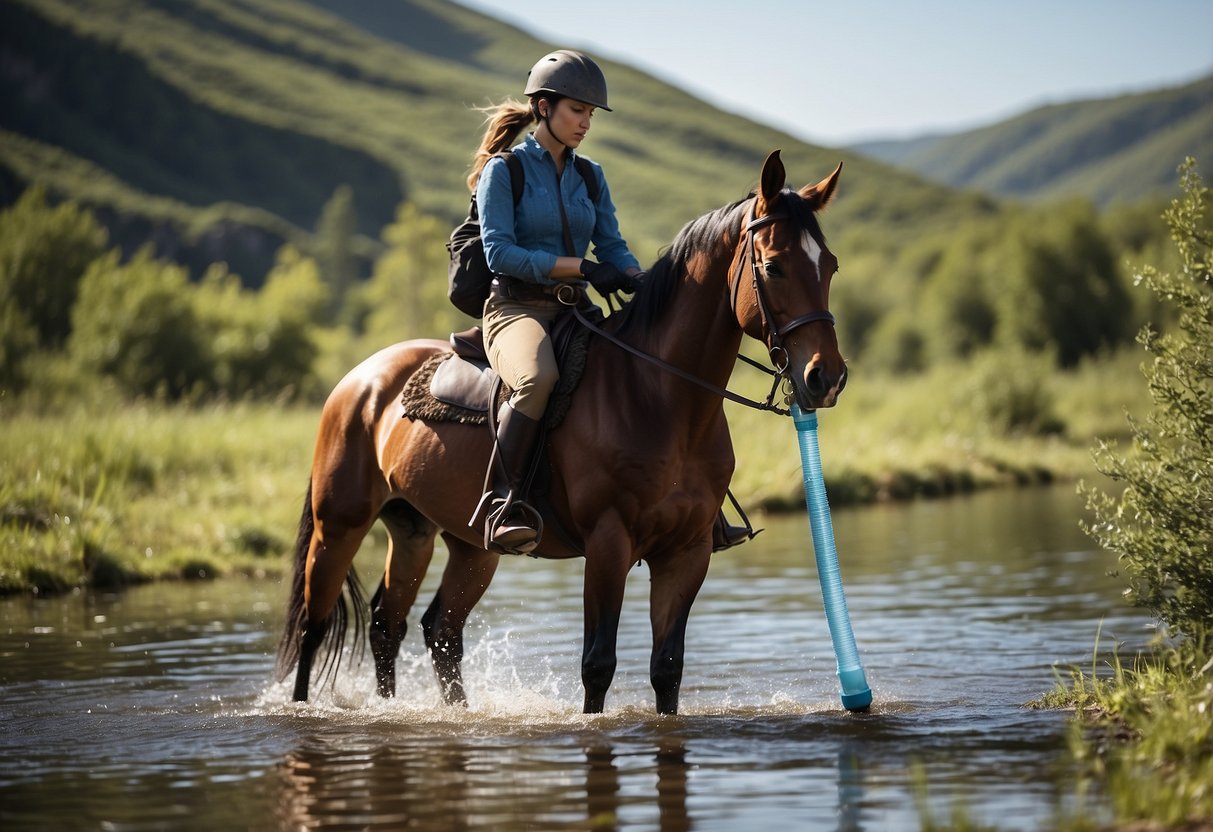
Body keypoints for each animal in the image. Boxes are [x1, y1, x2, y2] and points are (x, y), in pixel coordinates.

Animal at [275, 151, 844, 717]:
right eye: (773, 266)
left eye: (831, 266)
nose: (826, 377)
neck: (657, 394)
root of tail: (360, 378)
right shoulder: (608, 543)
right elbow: (598, 666)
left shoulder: (687, 552)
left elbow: (667, 670)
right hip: (339, 525)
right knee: (315, 626)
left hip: (443, 538)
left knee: (413, 626)